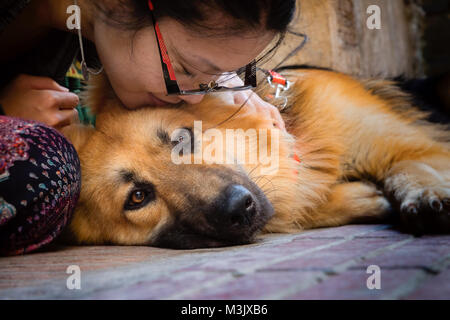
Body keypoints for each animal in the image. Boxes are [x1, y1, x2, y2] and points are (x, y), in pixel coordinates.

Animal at [62, 69, 450, 249]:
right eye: (138, 197)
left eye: (183, 140)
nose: (238, 208)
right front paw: (364, 198)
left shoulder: (423, 147)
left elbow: (404, 164)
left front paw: (421, 195)